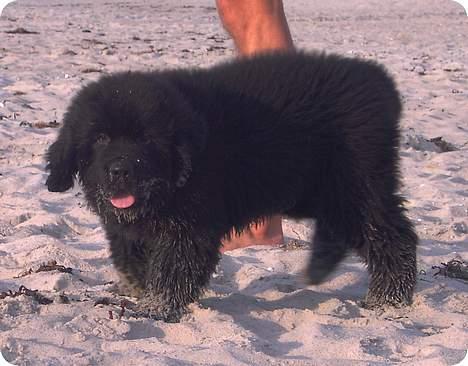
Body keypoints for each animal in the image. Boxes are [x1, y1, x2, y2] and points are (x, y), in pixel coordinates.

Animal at [45, 50, 418, 320]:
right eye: (100, 138)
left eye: (147, 139)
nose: (121, 170)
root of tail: (381, 82)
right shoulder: (128, 229)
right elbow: (131, 257)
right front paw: (137, 290)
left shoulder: (189, 227)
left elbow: (172, 270)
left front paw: (154, 308)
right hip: (318, 191)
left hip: (354, 186)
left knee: (391, 235)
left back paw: (388, 299)